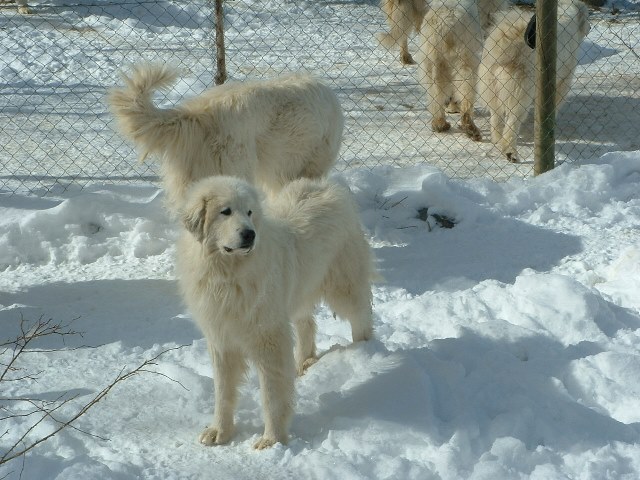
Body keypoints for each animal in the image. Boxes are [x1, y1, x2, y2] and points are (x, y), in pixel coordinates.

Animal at [175, 175, 376, 450]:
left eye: (250, 212)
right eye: (225, 211)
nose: (250, 234)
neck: (227, 273)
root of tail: (327, 186)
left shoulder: (268, 337)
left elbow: (271, 394)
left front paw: (272, 440)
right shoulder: (221, 338)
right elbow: (223, 391)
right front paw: (220, 431)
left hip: (343, 286)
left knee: (361, 316)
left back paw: (363, 351)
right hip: (299, 291)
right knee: (306, 324)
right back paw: (303, 363)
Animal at [480, 0, 592, 162]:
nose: (590, 27)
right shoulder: (563, 82)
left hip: (492, 90)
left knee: (496, 118)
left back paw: (497, 139)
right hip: (520, 96)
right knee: (511, 125)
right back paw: (510, 152)